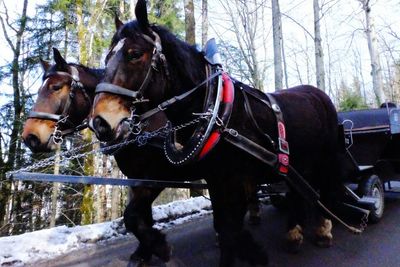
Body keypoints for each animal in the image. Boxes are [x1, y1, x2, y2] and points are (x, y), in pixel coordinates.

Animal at [90, 1, 344, 266]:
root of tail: (318, 93)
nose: (100, 122)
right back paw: (294, 233)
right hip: (299, 163)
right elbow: (220, 224)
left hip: (326, 157)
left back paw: (323, 230)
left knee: (324, 188)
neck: (216, 110)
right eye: (107, 58)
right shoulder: (211, 178)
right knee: (299, 191)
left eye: (135, 54)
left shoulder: (235, 180)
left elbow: (228, 228)